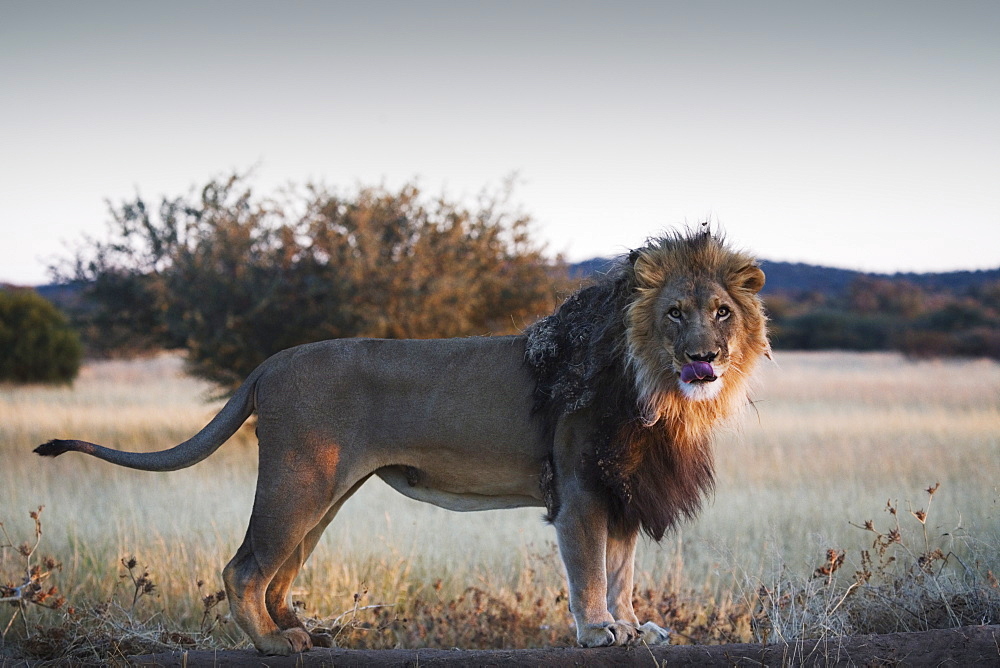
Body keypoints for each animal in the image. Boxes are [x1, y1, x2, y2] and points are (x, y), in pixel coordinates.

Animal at [31, 227, 764, 656]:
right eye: (675, 313)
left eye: (722, 312)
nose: (704, 356)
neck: (655, 388)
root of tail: (270, 362)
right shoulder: (582, 489)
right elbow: (589, 568)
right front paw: (597, 631)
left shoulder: (624, 490)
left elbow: (621, 569)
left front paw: (633, 624)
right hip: (299, 484)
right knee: (243, 568)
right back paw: (273, 645)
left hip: (325, 495)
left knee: (278, 572)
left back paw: (300, 630)